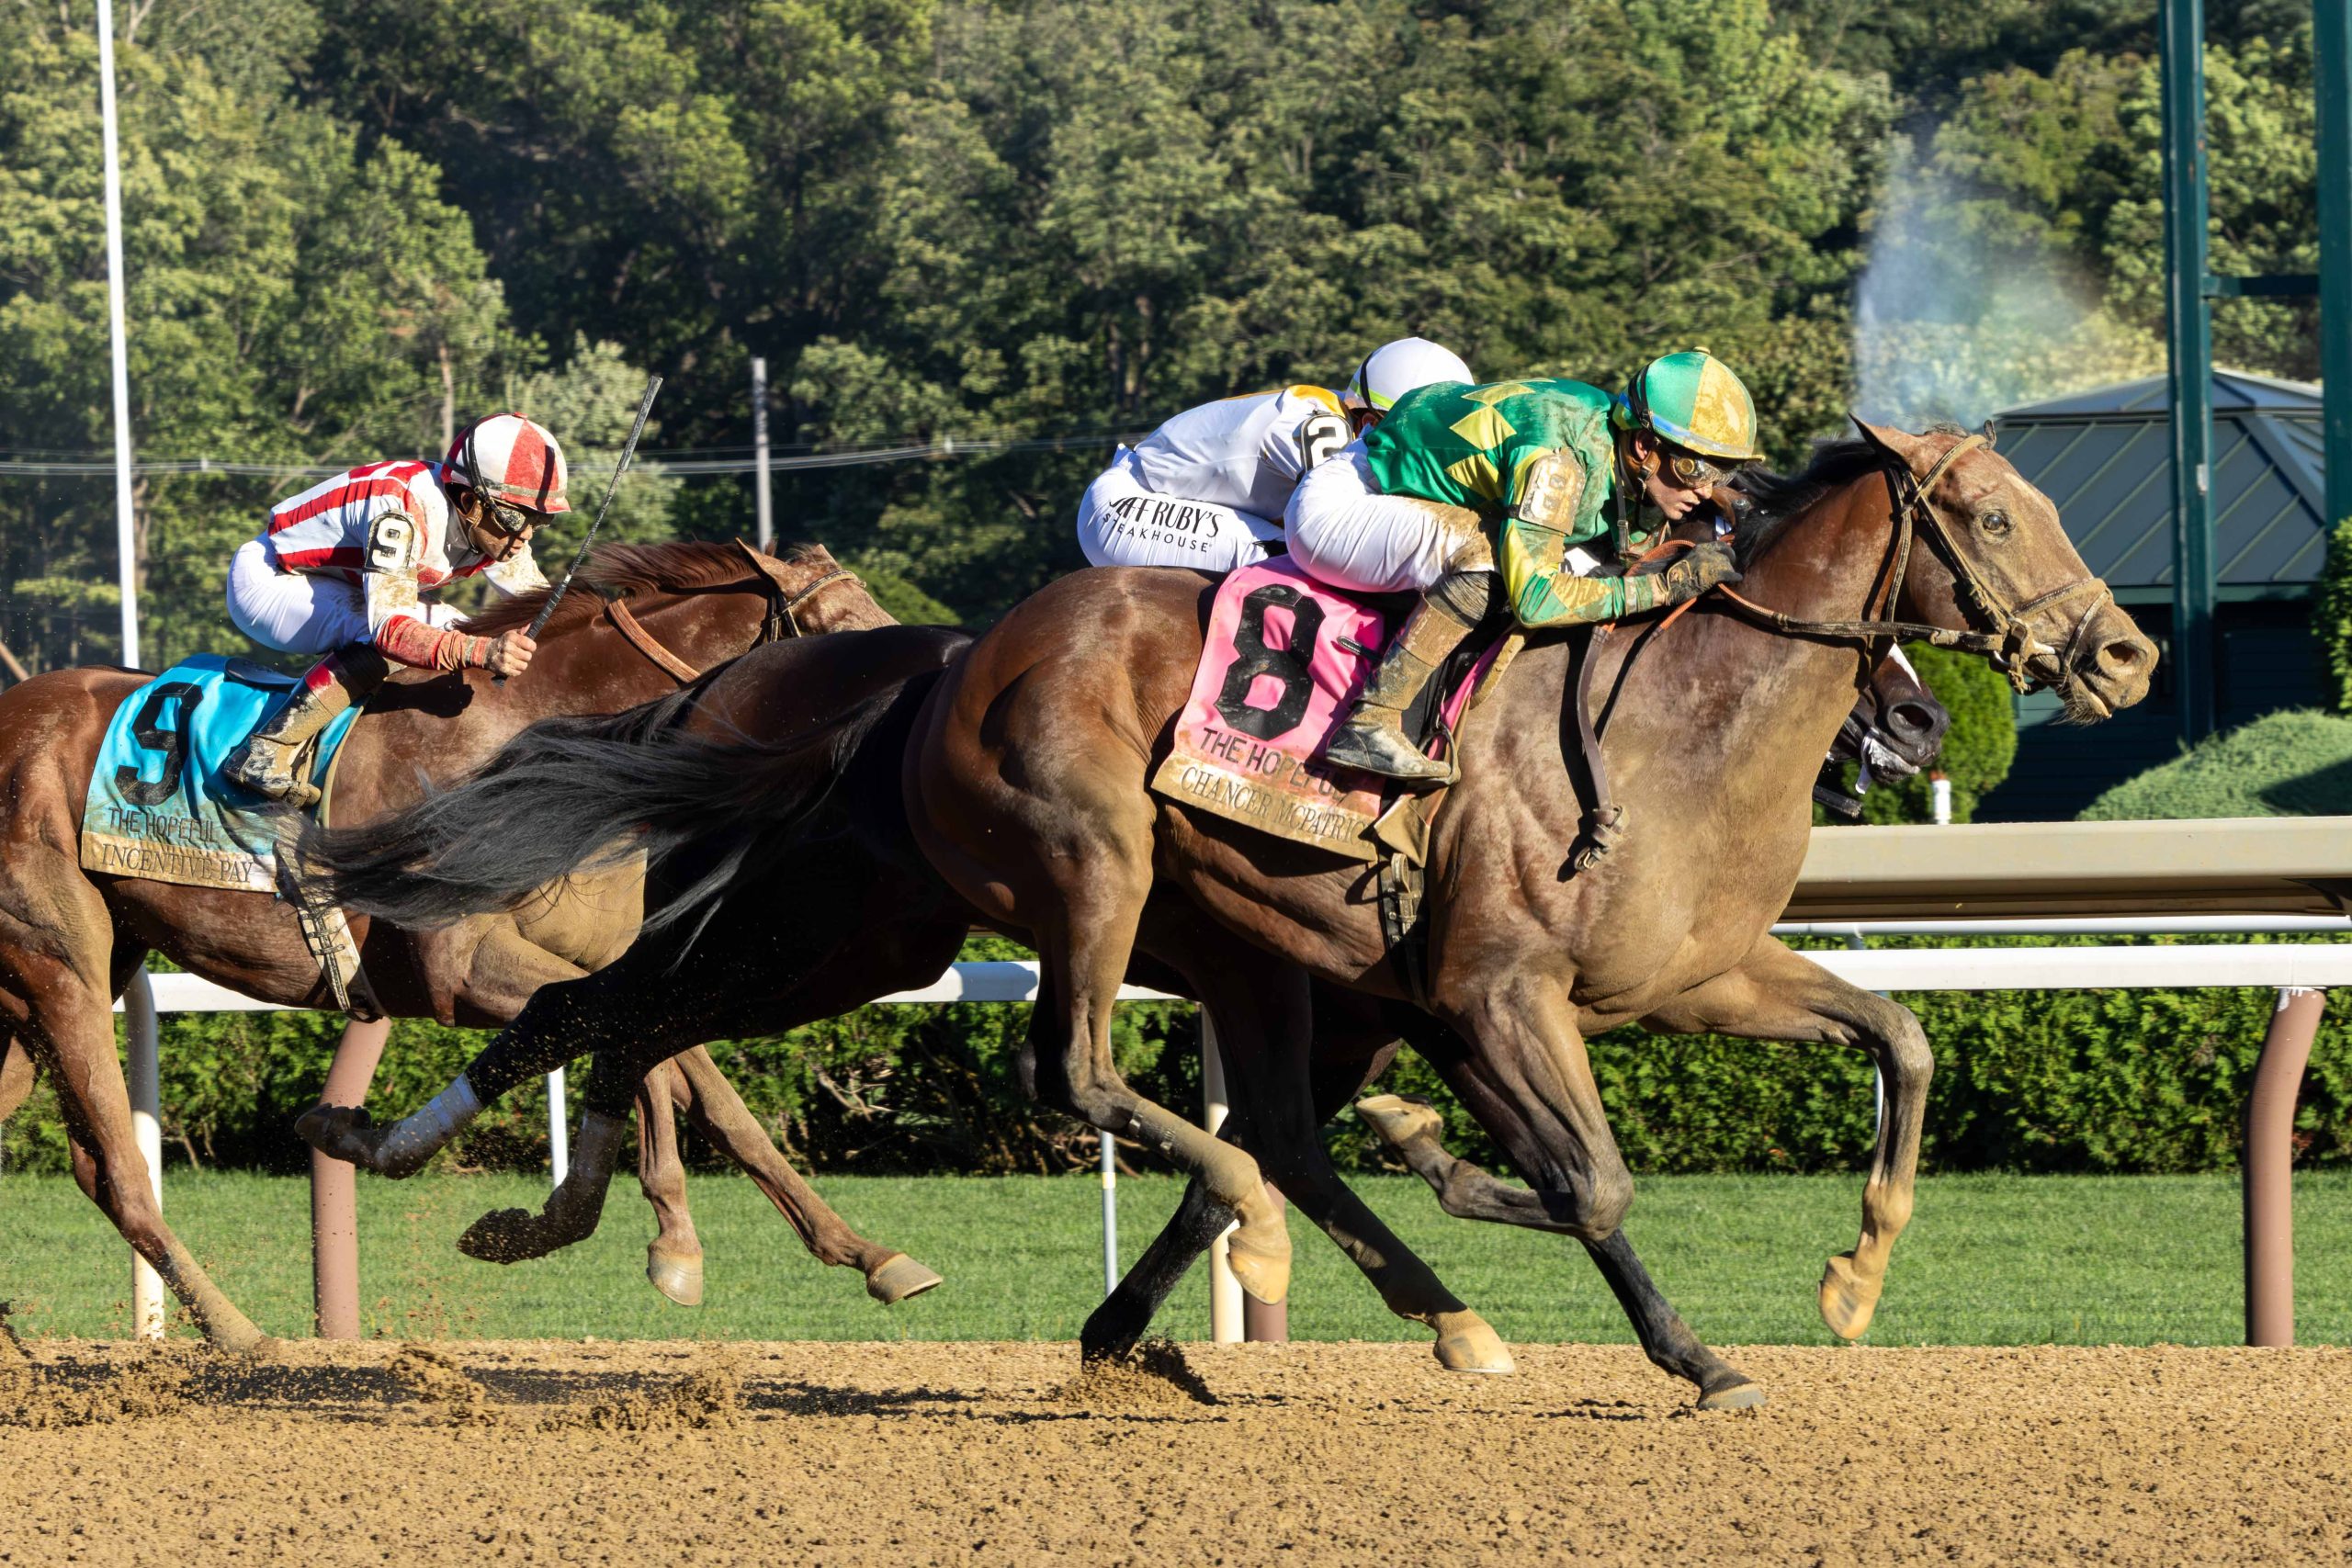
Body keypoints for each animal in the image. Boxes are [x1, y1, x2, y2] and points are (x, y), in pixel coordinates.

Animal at [0, 540, 935, 1354]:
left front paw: (864, 1254)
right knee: (117, 1169)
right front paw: (660, 1234)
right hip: (58, 965)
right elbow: (646, 1059)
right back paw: (238, 1331)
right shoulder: (460, 972)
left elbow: (702, 1088)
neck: (530, 745)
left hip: (59, 980)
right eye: (852, 632)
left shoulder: (599, 959)